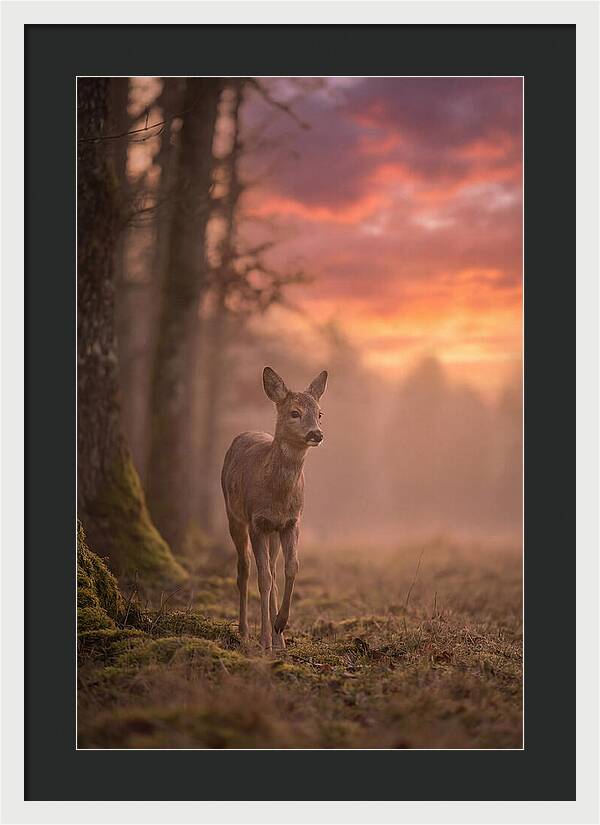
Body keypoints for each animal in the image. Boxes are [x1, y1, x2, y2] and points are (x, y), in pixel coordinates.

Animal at [221, 366, 328, 651]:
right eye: (295, 412)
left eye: (320, 413)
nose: (316, 434)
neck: (278, 497)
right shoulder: (257, 522)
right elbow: (264, 579)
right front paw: (264, 640)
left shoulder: (292, 522)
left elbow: (291, 568)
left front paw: (280, 624)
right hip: (234, 515)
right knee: (245, 568)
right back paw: (245, 631)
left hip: (273, 533)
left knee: (271, 566)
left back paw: (279, 639)